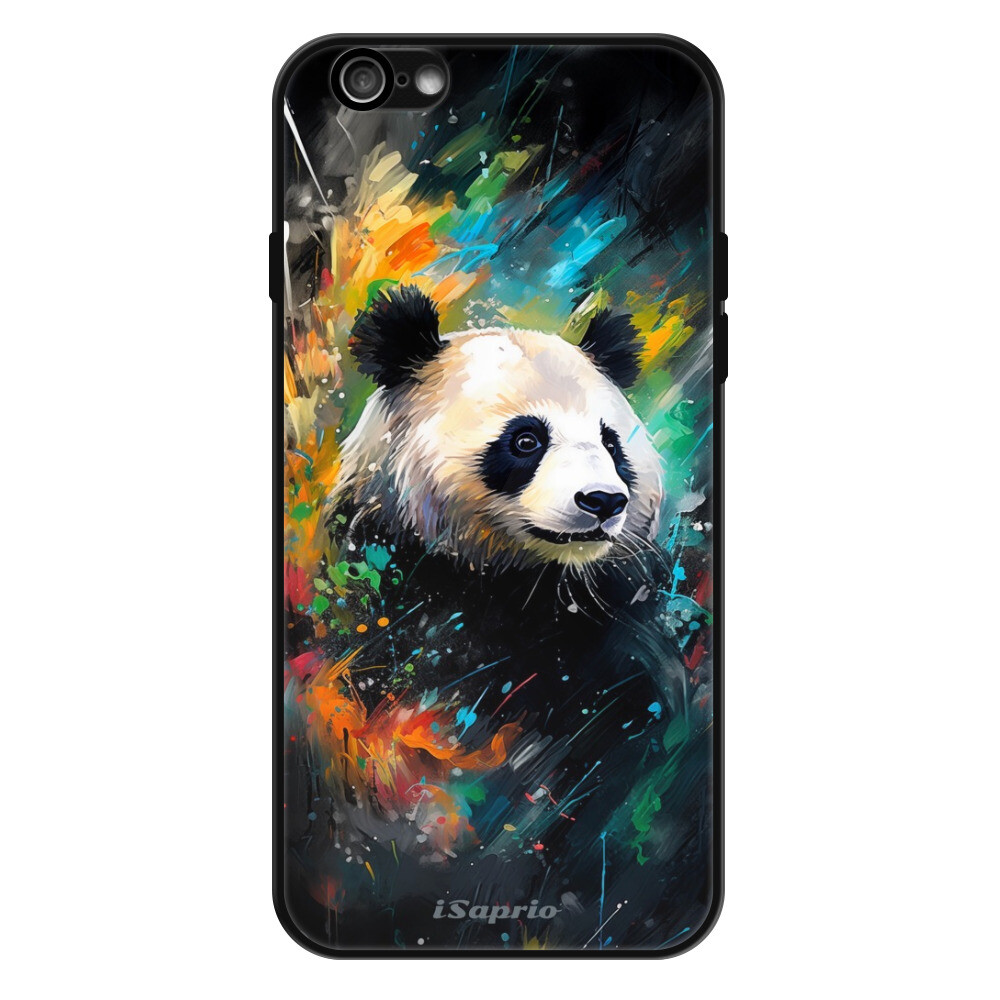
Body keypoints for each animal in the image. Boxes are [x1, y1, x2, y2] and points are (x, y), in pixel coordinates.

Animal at [285, 286, 712, 951]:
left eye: (610, 442)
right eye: (526, 440)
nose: (603, 501)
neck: (518, 583)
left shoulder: (611, 636)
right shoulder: (385, 603)